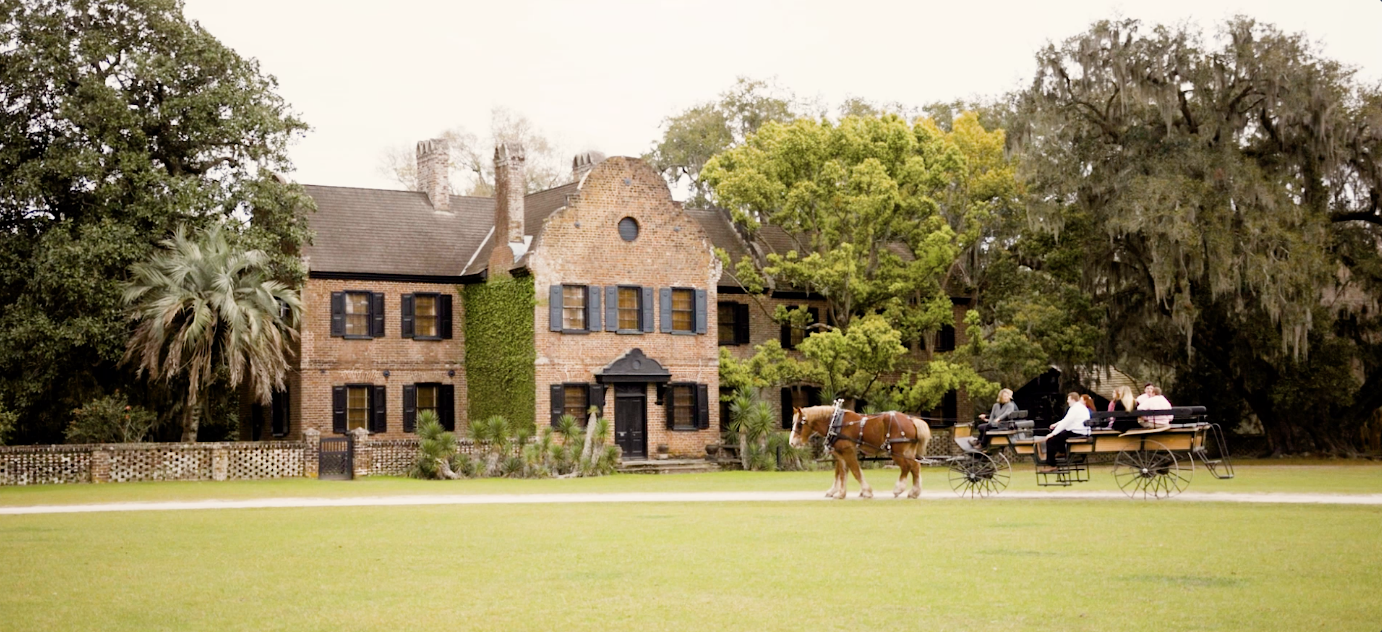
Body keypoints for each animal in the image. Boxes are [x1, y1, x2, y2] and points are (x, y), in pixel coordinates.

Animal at [796, 403, 934, 497]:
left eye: (799, 424)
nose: (793, 442)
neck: (836, 423)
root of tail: (911, 420)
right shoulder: (840, 453)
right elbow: (841, 472)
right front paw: (838, 492)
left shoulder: (848, 451)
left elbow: (855, 471)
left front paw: (866, 492)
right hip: (908, 451)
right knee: (915, 466)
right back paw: (914, 492)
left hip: (897, 452)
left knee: (906, 467)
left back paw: (898, 489)